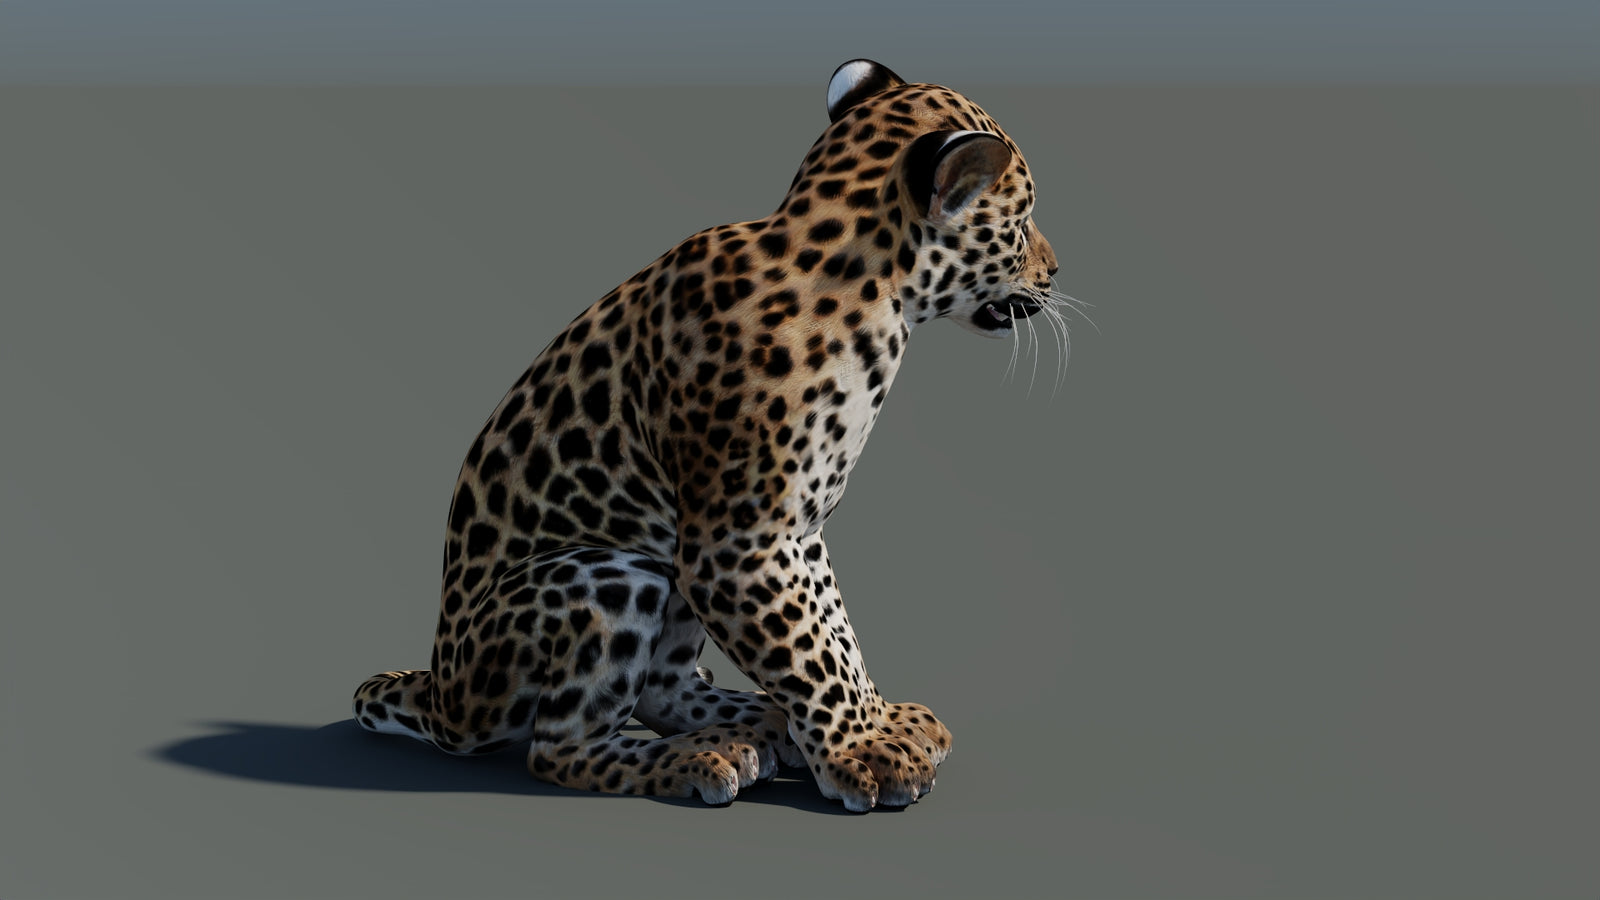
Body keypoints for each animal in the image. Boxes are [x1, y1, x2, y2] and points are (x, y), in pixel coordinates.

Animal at [353, 59, 1063, 812]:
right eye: (1020, 223)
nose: (1057, 270)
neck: (876, 294)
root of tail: (441, 695)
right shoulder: (738, 543)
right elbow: (808, 649)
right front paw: (862, 752)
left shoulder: (796, 528)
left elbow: (833, 628)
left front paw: (877, 724)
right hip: (609, 575)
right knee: (558, 749)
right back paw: (701, 756)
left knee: (660, 688)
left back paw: (755, 722)